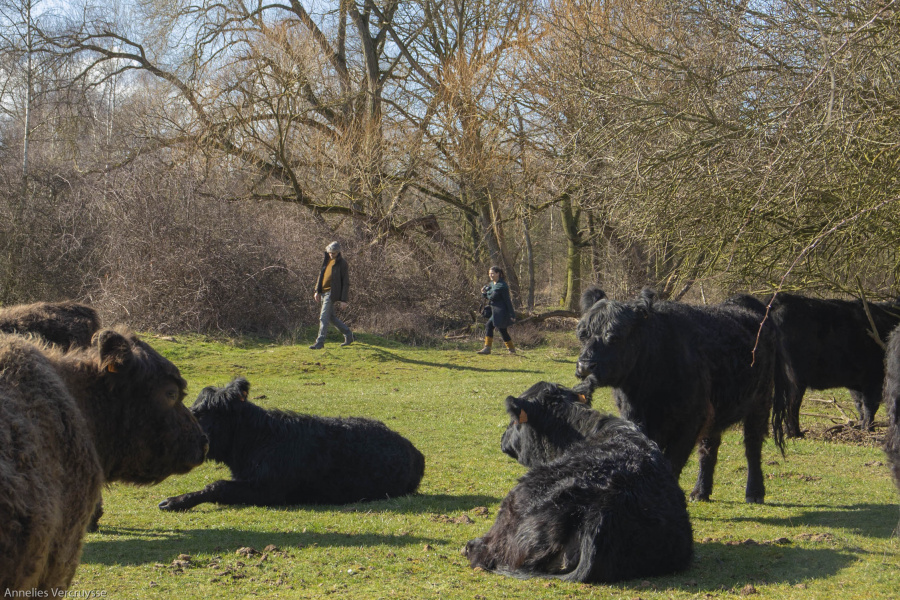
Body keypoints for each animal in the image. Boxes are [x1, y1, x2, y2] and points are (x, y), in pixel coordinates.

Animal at [159, 376, 426, 510]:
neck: (257, 437)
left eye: (201, 413)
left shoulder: (268, 490)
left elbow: (217, 486)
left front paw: (175, 501)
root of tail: (414, 451)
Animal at [576, 288, 780, 504]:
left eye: (614, 337)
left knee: (752, 445)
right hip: (716, 411)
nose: (585, 366)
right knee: (709, 448)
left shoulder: (690, 421)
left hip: (760, 401)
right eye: (582, 335)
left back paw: (754, 493)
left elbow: (672, 463)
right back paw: (700, 492)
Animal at [768, 292, 900, 436]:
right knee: (792, 404)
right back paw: (796, 433)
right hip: (795, 376)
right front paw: (868, 429)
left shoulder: (858, 382)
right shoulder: (874, 377)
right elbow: (869, 406)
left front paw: (861, 426)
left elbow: (860, 405)